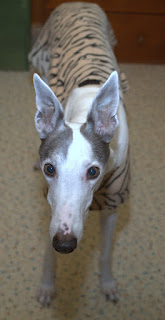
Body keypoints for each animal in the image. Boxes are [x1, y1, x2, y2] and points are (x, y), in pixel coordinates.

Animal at [30, 2, 130, 308]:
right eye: (50, 169)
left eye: (94, 171)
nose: (65, 244)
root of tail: (77, 3)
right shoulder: (51, 206)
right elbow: (47, 249)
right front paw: (47, 286)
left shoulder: (113, 203)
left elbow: (106, 251)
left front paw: (107, 283)